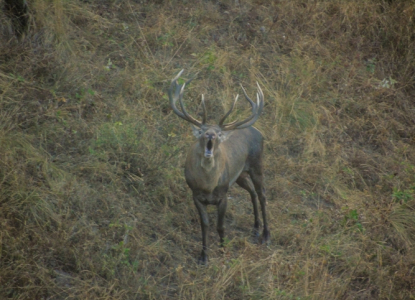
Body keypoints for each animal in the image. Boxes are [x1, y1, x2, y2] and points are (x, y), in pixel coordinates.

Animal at [169, 69, 270, 264]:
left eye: (219, 133)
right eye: (201, 131)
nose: (210, 135)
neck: (208, 185)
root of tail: (258, 131)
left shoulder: (223, 194)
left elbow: (221, 225)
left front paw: (223, 250)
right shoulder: (196, 195)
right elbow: (205, 225)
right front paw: (204, 256)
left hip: (257, 163)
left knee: (262, 194)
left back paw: (266, 234)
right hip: (239, 175)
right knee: (252, 192)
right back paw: (255, 228)